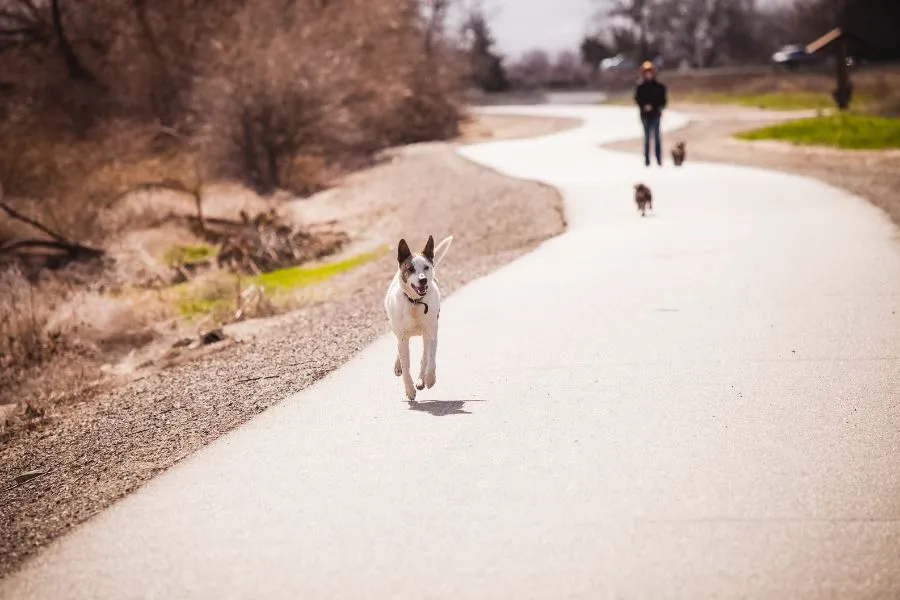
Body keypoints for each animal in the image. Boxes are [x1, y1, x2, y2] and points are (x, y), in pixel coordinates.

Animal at [384, 237, 454, 400]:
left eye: (426, 267)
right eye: (410, 269)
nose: (423, 280)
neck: (415, 302)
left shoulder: (431, 333)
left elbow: (430, 358)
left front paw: (430, 378)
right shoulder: (403, 338)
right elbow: (405, 366)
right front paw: (409, 390)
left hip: (425, 335)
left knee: (424, 357)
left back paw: (422, 379)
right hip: (398, 332)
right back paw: (399, 367)